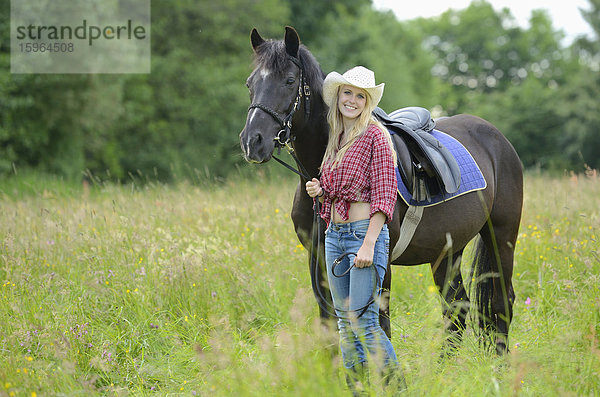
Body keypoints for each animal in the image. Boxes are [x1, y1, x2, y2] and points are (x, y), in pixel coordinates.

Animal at [239, 26, 520, 352]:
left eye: (289, 81)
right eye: (250, 83)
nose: (252, 141)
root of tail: (497, 138)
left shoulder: (376, 261)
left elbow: (380, 326)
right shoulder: (320, 261)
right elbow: (330, 326)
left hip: (501, 236)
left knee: (501, 301)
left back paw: (499, 362)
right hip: (448, 250)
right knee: (457, 308)